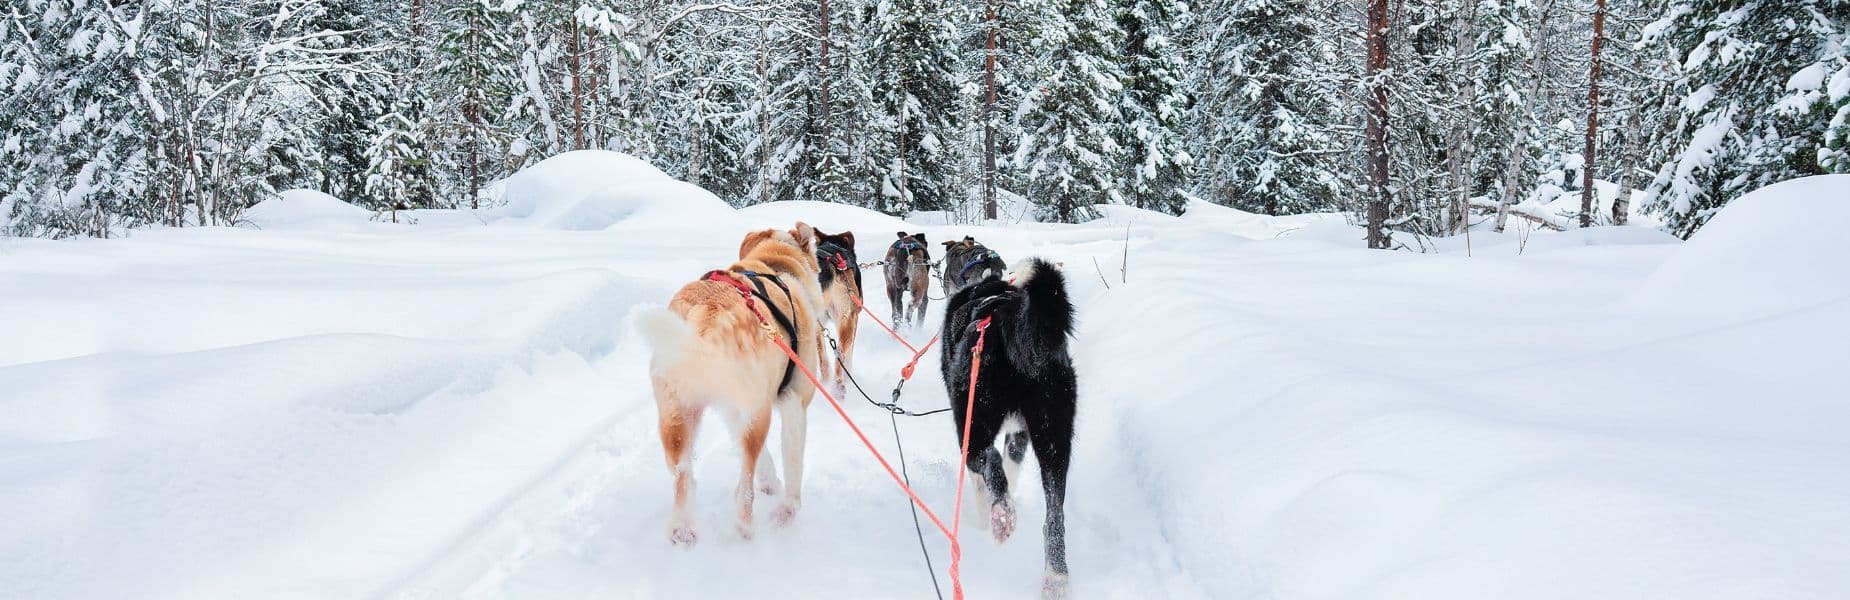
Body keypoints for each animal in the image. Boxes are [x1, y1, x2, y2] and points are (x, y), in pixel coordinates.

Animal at [640, 221, 828, 548]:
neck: (773, 264)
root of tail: (707, 312)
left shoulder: (735, 412)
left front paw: (770, 481)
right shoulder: (793, 402)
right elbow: (792, 463)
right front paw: (788, 508)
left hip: (677, 417)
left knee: (683, 476)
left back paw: (682, 528)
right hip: (757, 414)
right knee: (745, 483)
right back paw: (745, 526)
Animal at [939, 257, 1073, 596]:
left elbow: (983, 479)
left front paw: (984, 516)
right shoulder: (1019, 434)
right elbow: (1013, 464)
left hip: (972, 419)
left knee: (988, 458)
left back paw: (1001, 515)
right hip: (1054, 436)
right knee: (1054, 515)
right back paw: (1055, 577)